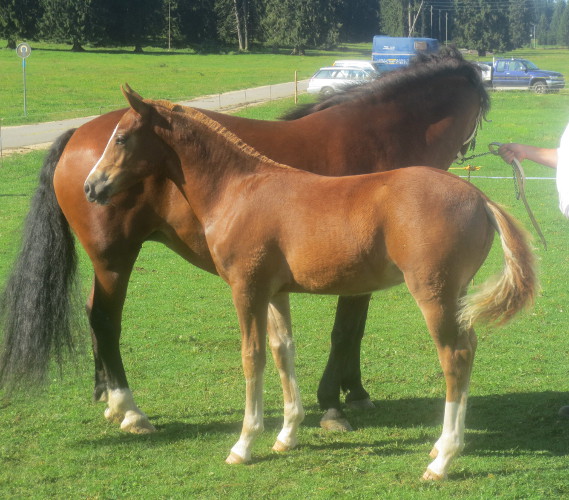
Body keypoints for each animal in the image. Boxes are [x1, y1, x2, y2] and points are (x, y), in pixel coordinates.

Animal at [82, 91, 536, 480]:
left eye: (121, 138)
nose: (91, 186)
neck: (239, 189)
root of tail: (480, 198)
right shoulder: (275, 292)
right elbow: (283, 352)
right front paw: (287, 436)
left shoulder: (246, 289)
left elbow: (252, 357)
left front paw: (244, 444)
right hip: (454, 295)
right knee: (469, 347)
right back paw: (441, 446)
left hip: (433, 294)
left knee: (455, 356)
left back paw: (442, 460)